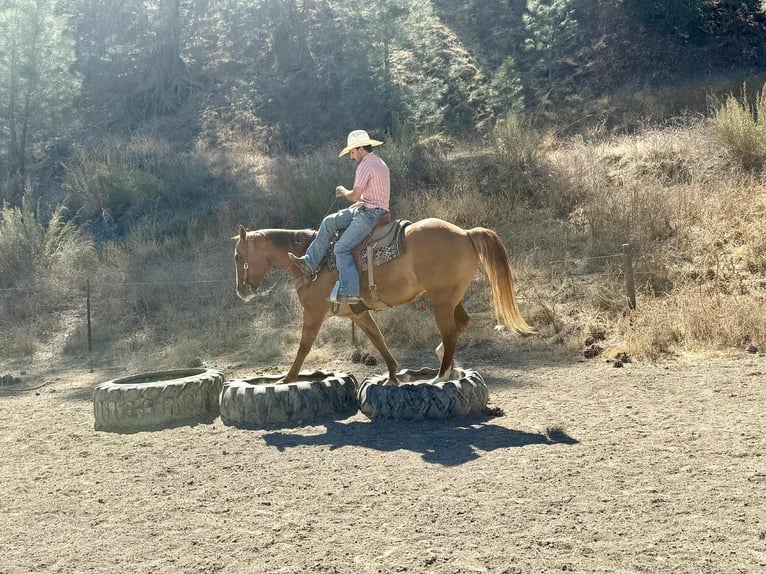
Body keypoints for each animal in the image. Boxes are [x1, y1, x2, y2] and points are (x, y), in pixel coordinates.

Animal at [233, 218, 532, 385]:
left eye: (238, 256)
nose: (241, 292)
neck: (310, 261)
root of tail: (465, 234)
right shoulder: (358, 314)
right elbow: (378, 340)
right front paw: (393, 375)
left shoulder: (314, 313)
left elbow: (303, 347)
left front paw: (288, 378)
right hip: (450, 298)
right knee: (461, 324)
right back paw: (445, 364)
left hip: (442, 301)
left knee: (449, 333)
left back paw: (441, 374)